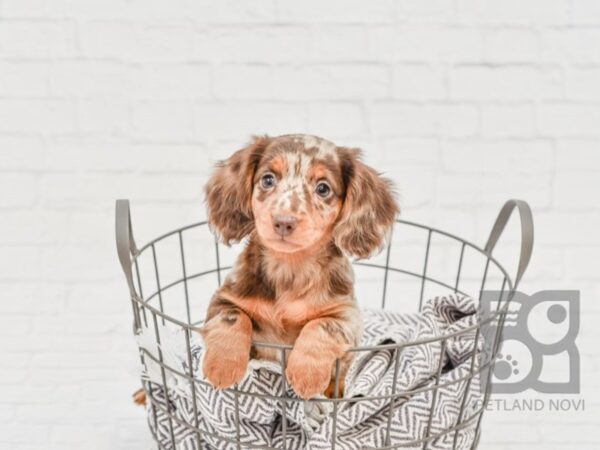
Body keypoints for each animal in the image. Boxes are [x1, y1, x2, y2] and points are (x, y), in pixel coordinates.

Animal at [200, 134, 398, 398]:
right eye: (268, 179)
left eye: (323, 188)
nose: (284, 222)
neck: (289, 268)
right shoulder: (224, 298)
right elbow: (232, 317)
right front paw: (222, 366)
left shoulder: (347, 315)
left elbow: (321, 325)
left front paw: (307, 374)